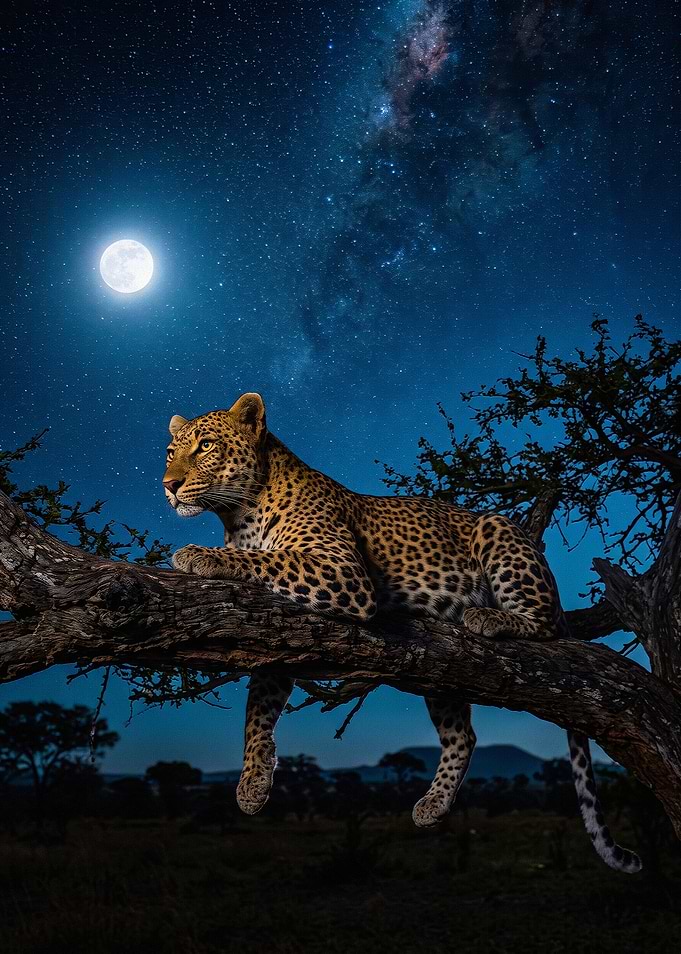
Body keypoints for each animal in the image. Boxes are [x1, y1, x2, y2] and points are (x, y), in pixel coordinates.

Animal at [163, 392, 640, 873]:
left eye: (205, 447)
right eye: (171, 452)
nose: (168, 485)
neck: (238, 515)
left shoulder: (343, 573)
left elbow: (266, 559)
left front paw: (198, 555)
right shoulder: (274, 634)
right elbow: (258, 711)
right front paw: (253, 783)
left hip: (498, 530)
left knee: (542, 627)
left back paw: (489, 617)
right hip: (444, 677)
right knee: (462, 735)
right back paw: (433, 806)